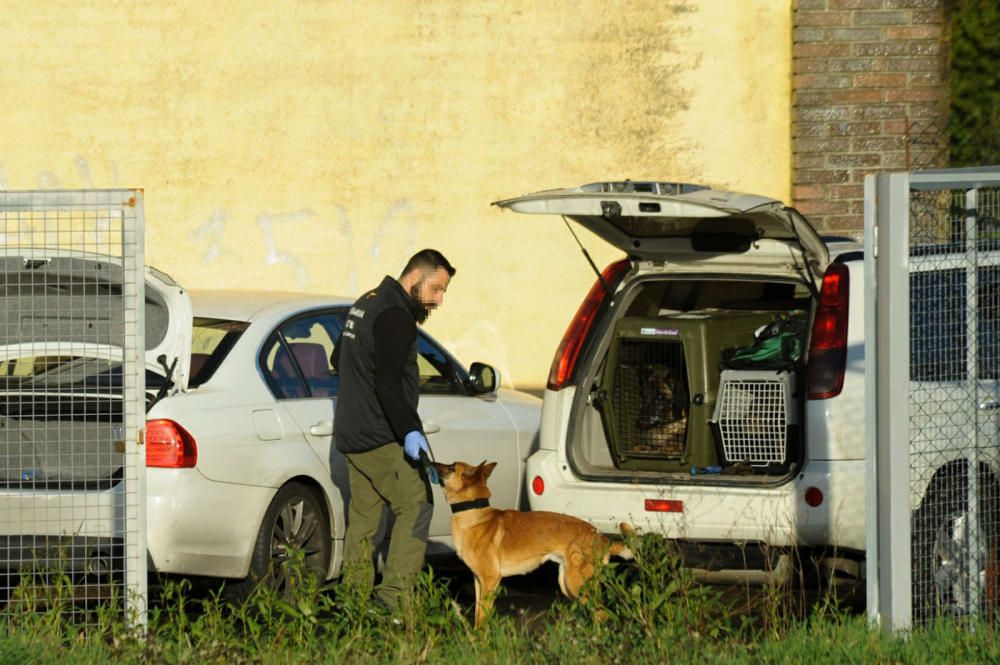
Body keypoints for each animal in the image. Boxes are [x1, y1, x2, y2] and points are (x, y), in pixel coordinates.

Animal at [430, 460, 632, 624]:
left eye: (451, 467)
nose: (432, 462)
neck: (473, 512)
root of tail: (600, 536)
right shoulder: (478, 581)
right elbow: (478, 615)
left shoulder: (490, 580)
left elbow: (482, 619)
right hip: (567, 583)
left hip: (576, 583)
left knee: (603, 614)